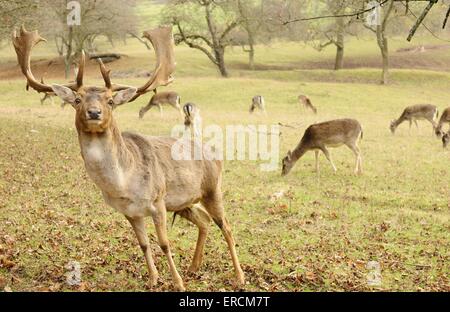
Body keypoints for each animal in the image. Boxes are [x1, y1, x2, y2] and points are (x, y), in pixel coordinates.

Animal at [14, 25, 244, 292]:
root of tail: (213, 151)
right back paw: (194, 267)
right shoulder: (130, 212)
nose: (94, 112)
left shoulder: (157, 201)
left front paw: (177, 284)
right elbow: (144, 244)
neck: (124, 185)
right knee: (204, 221)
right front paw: (154, 279)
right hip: (183, 201)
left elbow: (164, 243)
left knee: (227, 227)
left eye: (111, 101)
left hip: (212, 188)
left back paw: (239, 276)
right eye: (78, 100)